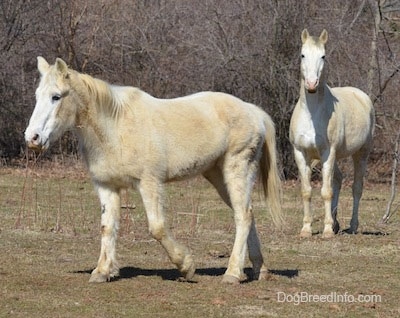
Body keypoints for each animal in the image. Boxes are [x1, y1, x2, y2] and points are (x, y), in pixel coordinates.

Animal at [25, 56, 282, 284]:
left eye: (56, 97)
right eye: (37, 96)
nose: (32, 138)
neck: (115, 128)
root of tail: (253, 111)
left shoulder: (149, 183)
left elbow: (157, 227)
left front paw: (186, 266)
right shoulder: (107, 186)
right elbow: (107, 227)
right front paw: (103, 271)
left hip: (236, 170)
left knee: (242, 216)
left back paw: (232, 274)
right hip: (219, 177)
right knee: (248, 214)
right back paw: (259, 270)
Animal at [290, 30, 374, 238]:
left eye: (323, 56)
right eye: (302, 55)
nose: (311, 84)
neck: (312, 114)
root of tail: (362, 96)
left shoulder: (328, 152)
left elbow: (326, 191)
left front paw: (327, 230)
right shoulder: (301, 153)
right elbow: (307, 191)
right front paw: (306, 229)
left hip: (361, 154)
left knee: (356, 188)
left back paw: (352, 226)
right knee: (338, 180)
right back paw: (336, 224)